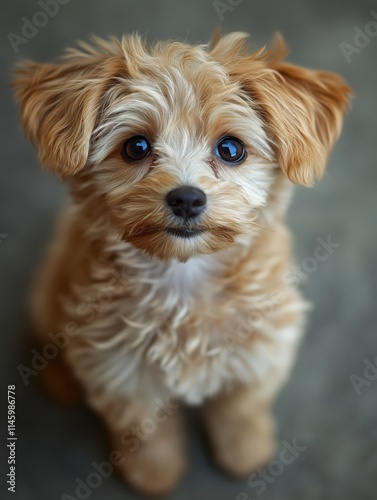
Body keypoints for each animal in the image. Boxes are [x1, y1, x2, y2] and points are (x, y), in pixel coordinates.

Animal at [13, 32, 352, 496]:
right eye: (136, 146)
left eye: (231, 149)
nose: (187, 198)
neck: (184, 279)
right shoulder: (120, 371)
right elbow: (145, 429)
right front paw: (154, 474)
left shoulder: (264, 347)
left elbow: (241, 408)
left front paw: (246, 454)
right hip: (49, 289)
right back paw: (60, 381)